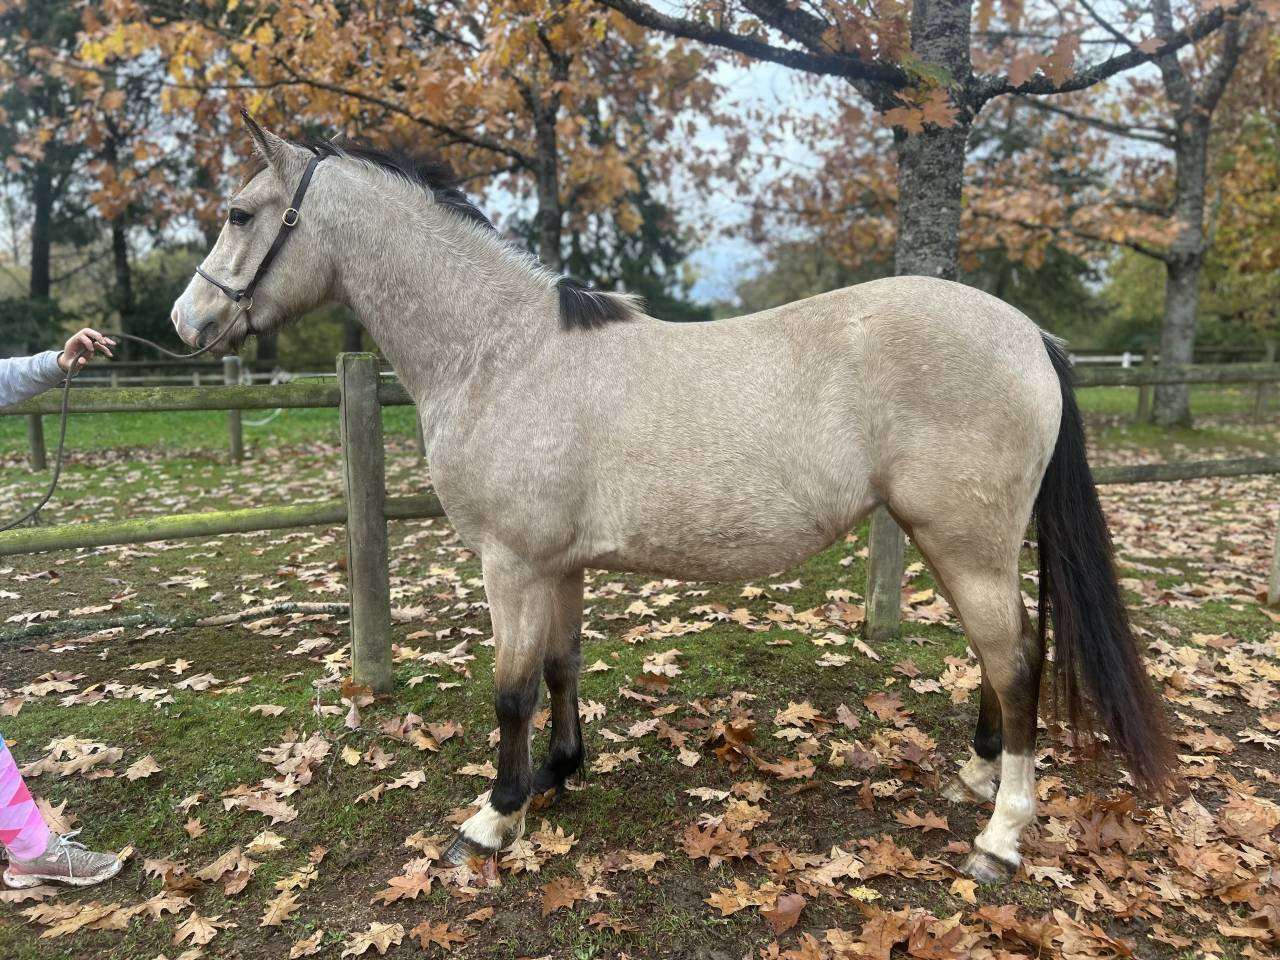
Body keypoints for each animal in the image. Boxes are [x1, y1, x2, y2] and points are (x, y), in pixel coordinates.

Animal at [172, 114, 1174, 882]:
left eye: (240, 213)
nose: (188, 321)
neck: (502, 351)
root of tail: (1030, 335)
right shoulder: (558, 566)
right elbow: (561, 669)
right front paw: (558, 775)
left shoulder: (512, 566)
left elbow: (509, 692)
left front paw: (494, 818)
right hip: (960, 544)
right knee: (1003, 655)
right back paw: (977, 779)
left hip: (966, 542)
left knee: (1016, 660)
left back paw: (1000, 836)